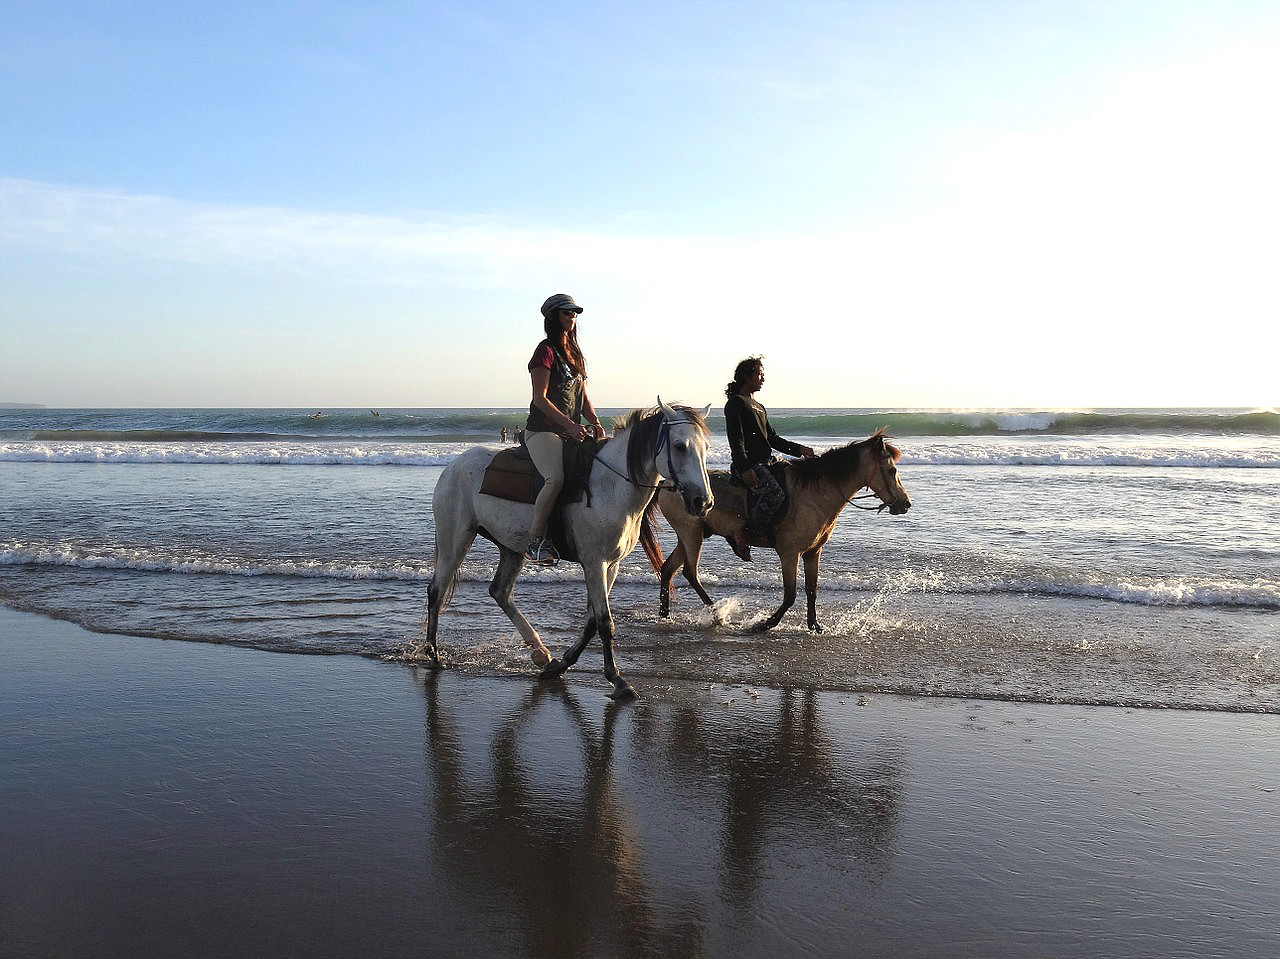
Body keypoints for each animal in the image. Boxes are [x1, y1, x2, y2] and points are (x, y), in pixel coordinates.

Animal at [419, 399, 711, 701]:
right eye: (680, 446)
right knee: (437, 590)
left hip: (511, 547)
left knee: (500, 591)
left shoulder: (611, 565)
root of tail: (453, 466)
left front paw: (562, 663)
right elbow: (604, 622)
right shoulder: (594, 563)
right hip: (455, 538)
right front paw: (617, 679)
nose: (703, 501)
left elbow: (592, 620)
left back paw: (540, 652)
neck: (612, 486)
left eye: (706, 447)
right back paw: (434, 654)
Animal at [650, 430, 911, 632]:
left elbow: (811, 590)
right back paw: (716, 615)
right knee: (690, 573)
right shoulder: (789, 552)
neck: (815, 494)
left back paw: (665, 614)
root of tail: (667, 483)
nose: (905, 504)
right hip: (691, 533)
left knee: (669, 568)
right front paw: (766, 623)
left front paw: (814, 626)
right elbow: (791, 594)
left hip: (690, 535)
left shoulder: (813, 553)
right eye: (891, 470)